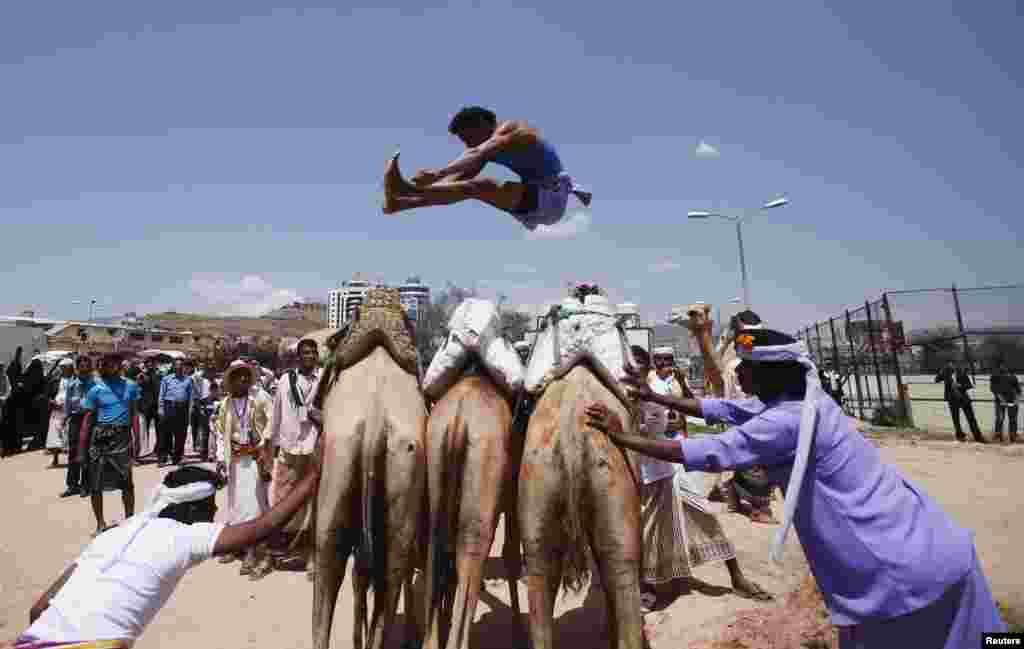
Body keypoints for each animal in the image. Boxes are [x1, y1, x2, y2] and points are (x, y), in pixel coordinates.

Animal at [309, 286, 425, 646]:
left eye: (334, 341)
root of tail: (375, 424)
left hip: (342, 462)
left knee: (333, 559)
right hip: (396, 470)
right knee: (386, 570)